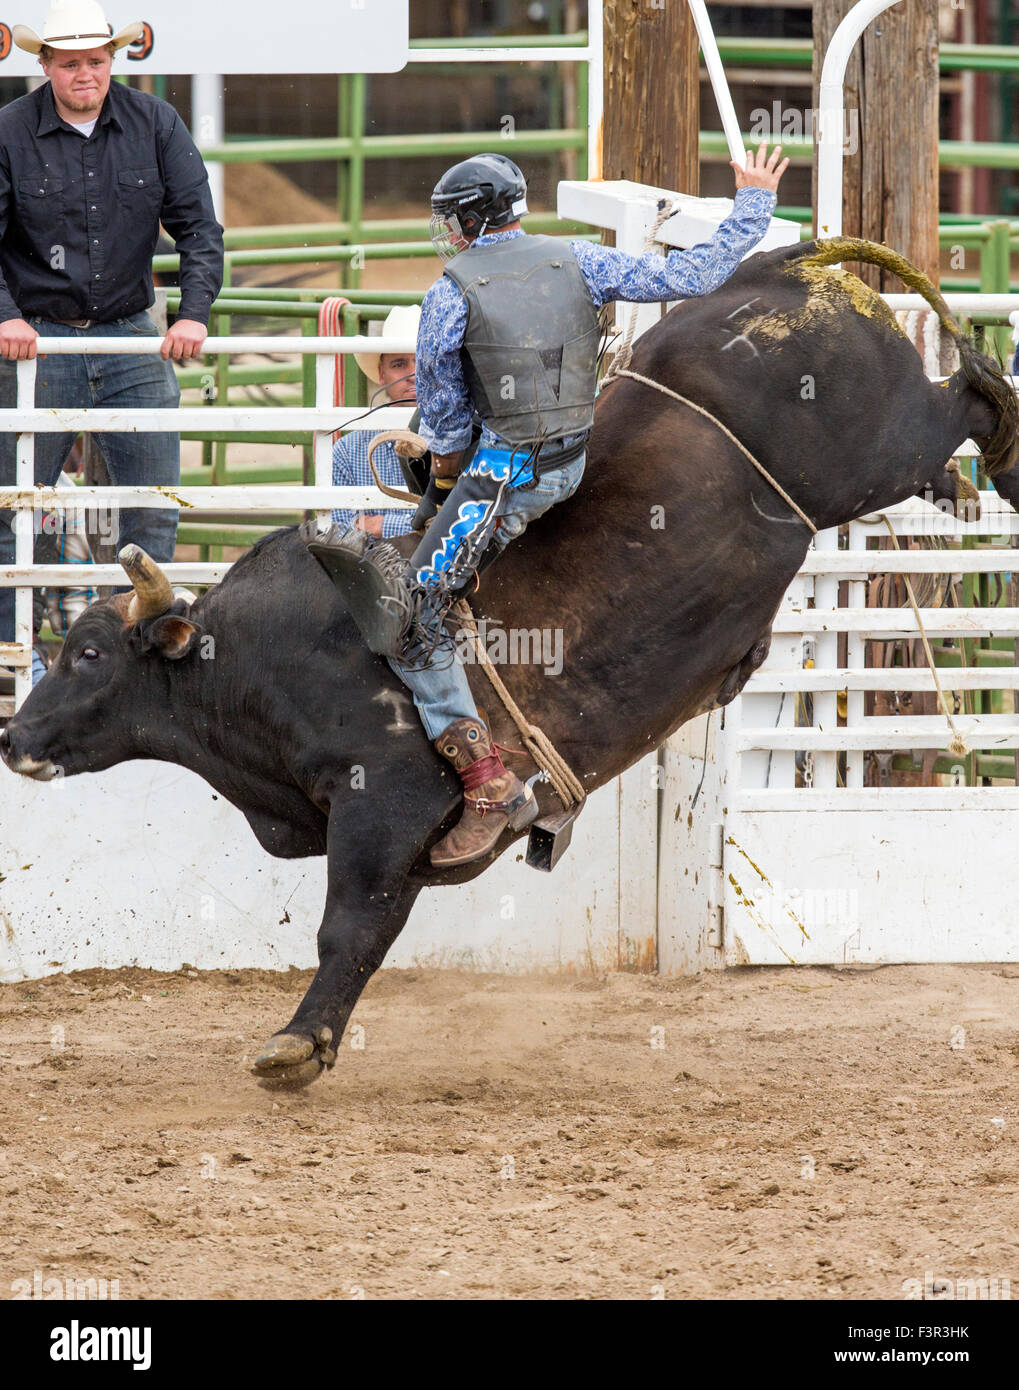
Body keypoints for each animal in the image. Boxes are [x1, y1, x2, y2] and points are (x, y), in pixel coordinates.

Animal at [1, 236, 1017, 1084]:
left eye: (87, 653)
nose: (14, 738)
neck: (249, 664)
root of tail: (775, 267)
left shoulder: (384, 803)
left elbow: (344, 929)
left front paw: (296, 1045)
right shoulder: (401, 843)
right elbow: (371, 933)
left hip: (874, 448)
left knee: (962, 398)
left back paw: (997, 437)